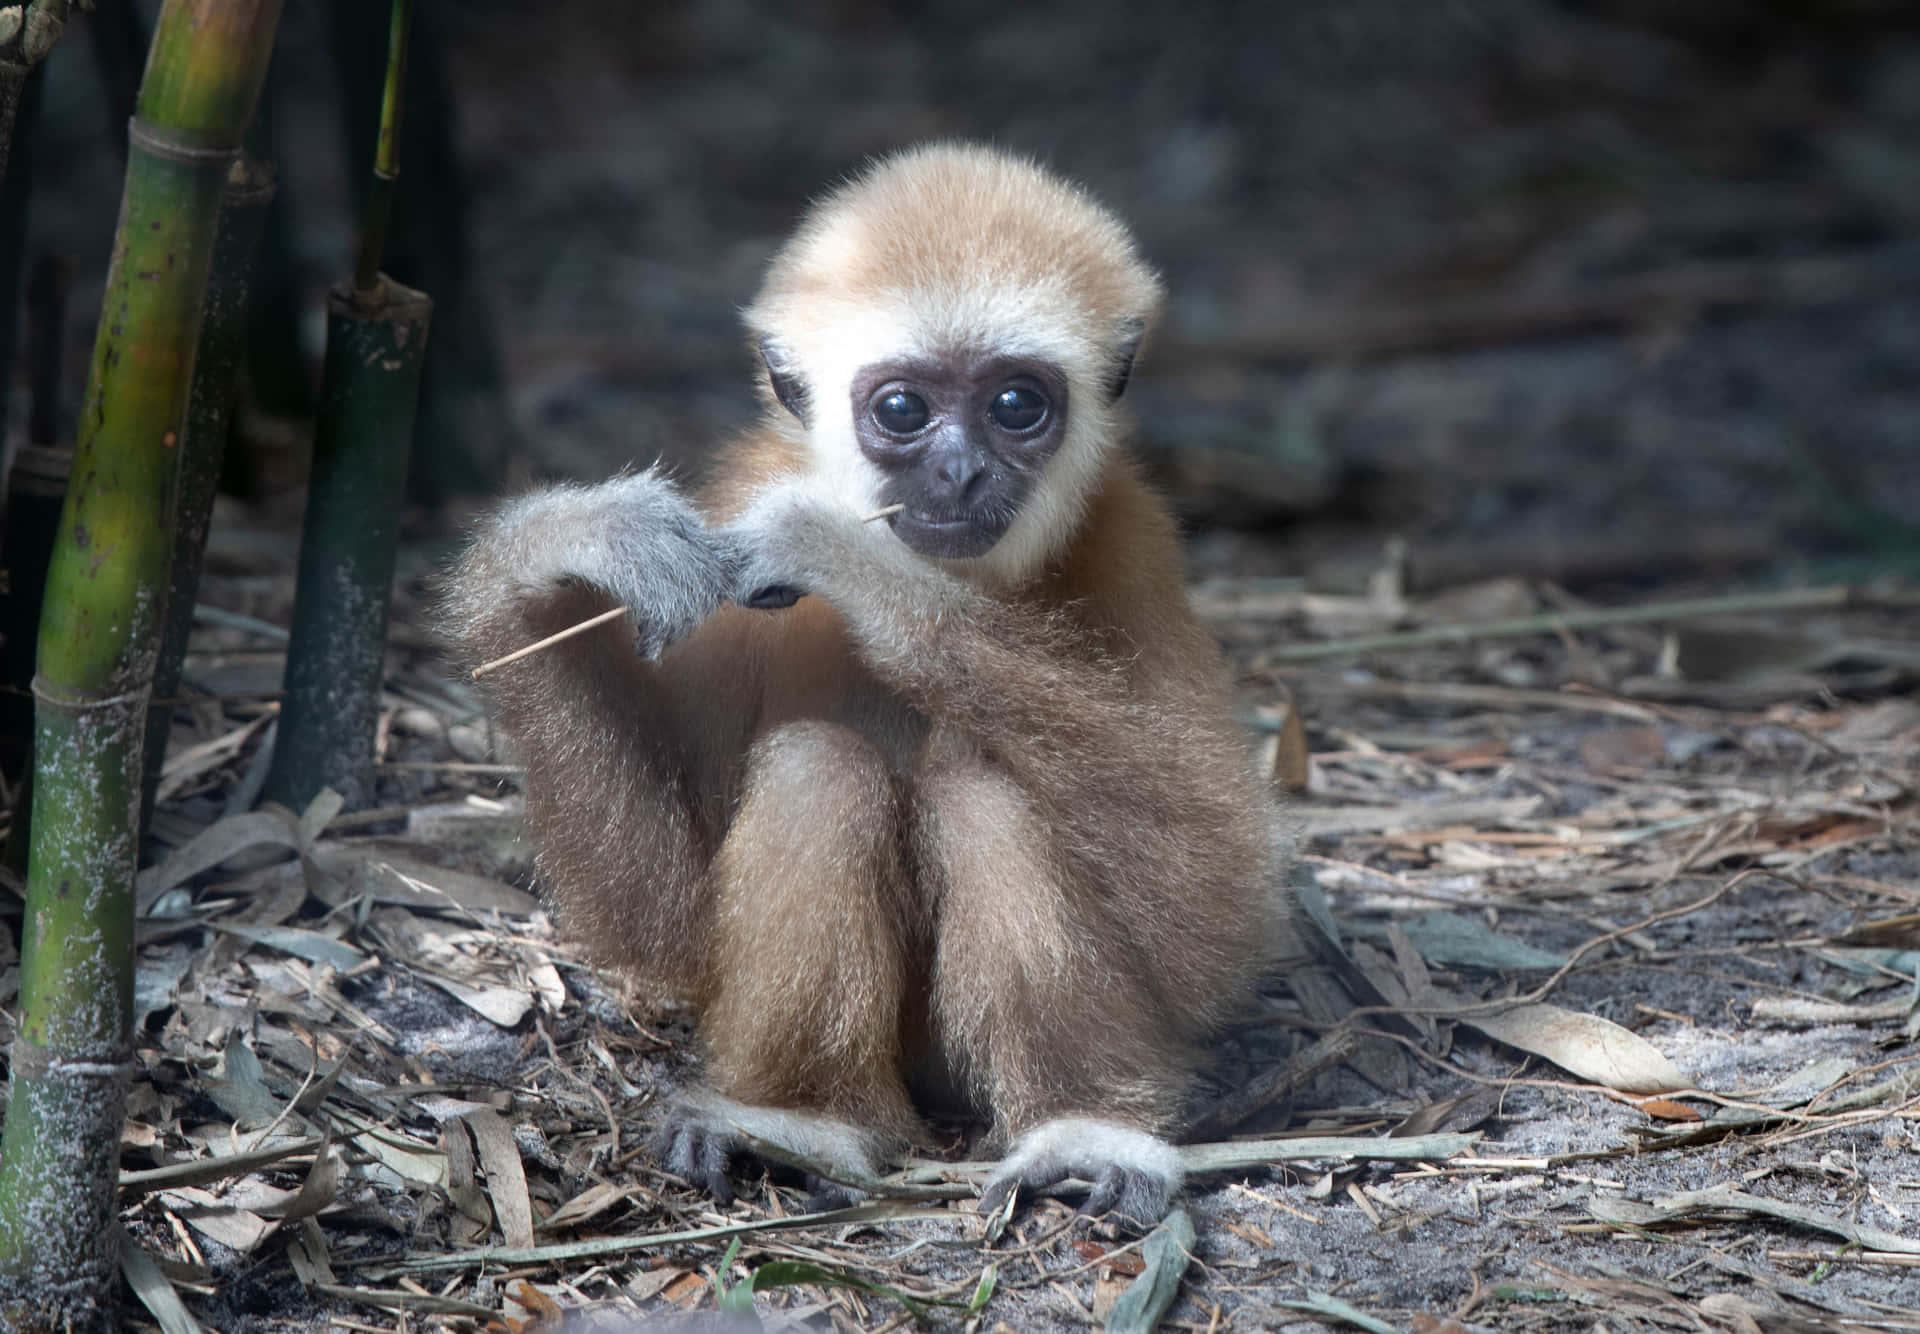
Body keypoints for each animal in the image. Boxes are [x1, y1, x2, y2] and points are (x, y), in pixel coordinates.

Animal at [444, 143, 1297, 1227]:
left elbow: (1215, 910)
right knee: (820, 766)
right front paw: (565, 547)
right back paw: (801, 1118)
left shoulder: (1130, 542)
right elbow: (668, 926)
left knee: (983, 787)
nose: (962, 469)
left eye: (1016, 405)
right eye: (902, 410)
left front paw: (858, 568)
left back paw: (1084, 1126)